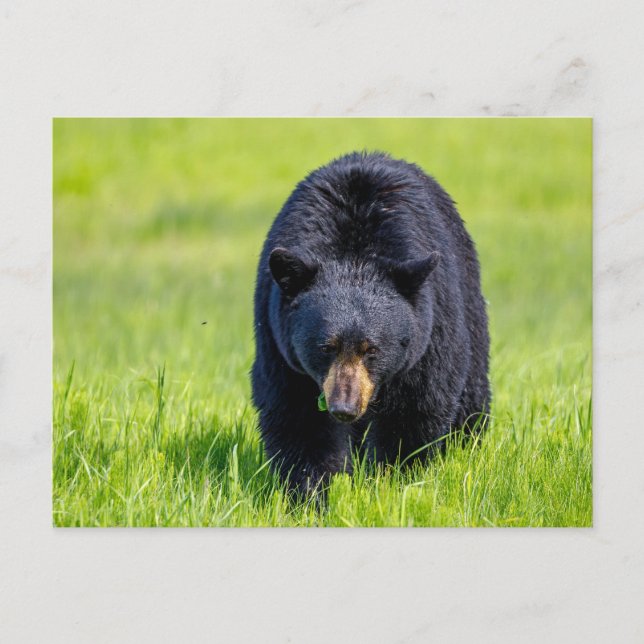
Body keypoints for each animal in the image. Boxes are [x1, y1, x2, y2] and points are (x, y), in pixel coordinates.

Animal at [251, 151, 490, 495]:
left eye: (372, 349)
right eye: (326, 347)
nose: (344, 407)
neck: (354, 255)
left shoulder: (427, 338)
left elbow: (415, 410)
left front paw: (395, 481)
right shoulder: (279, 344)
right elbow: (297, 416)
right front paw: (312, 492)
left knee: (472, 391)